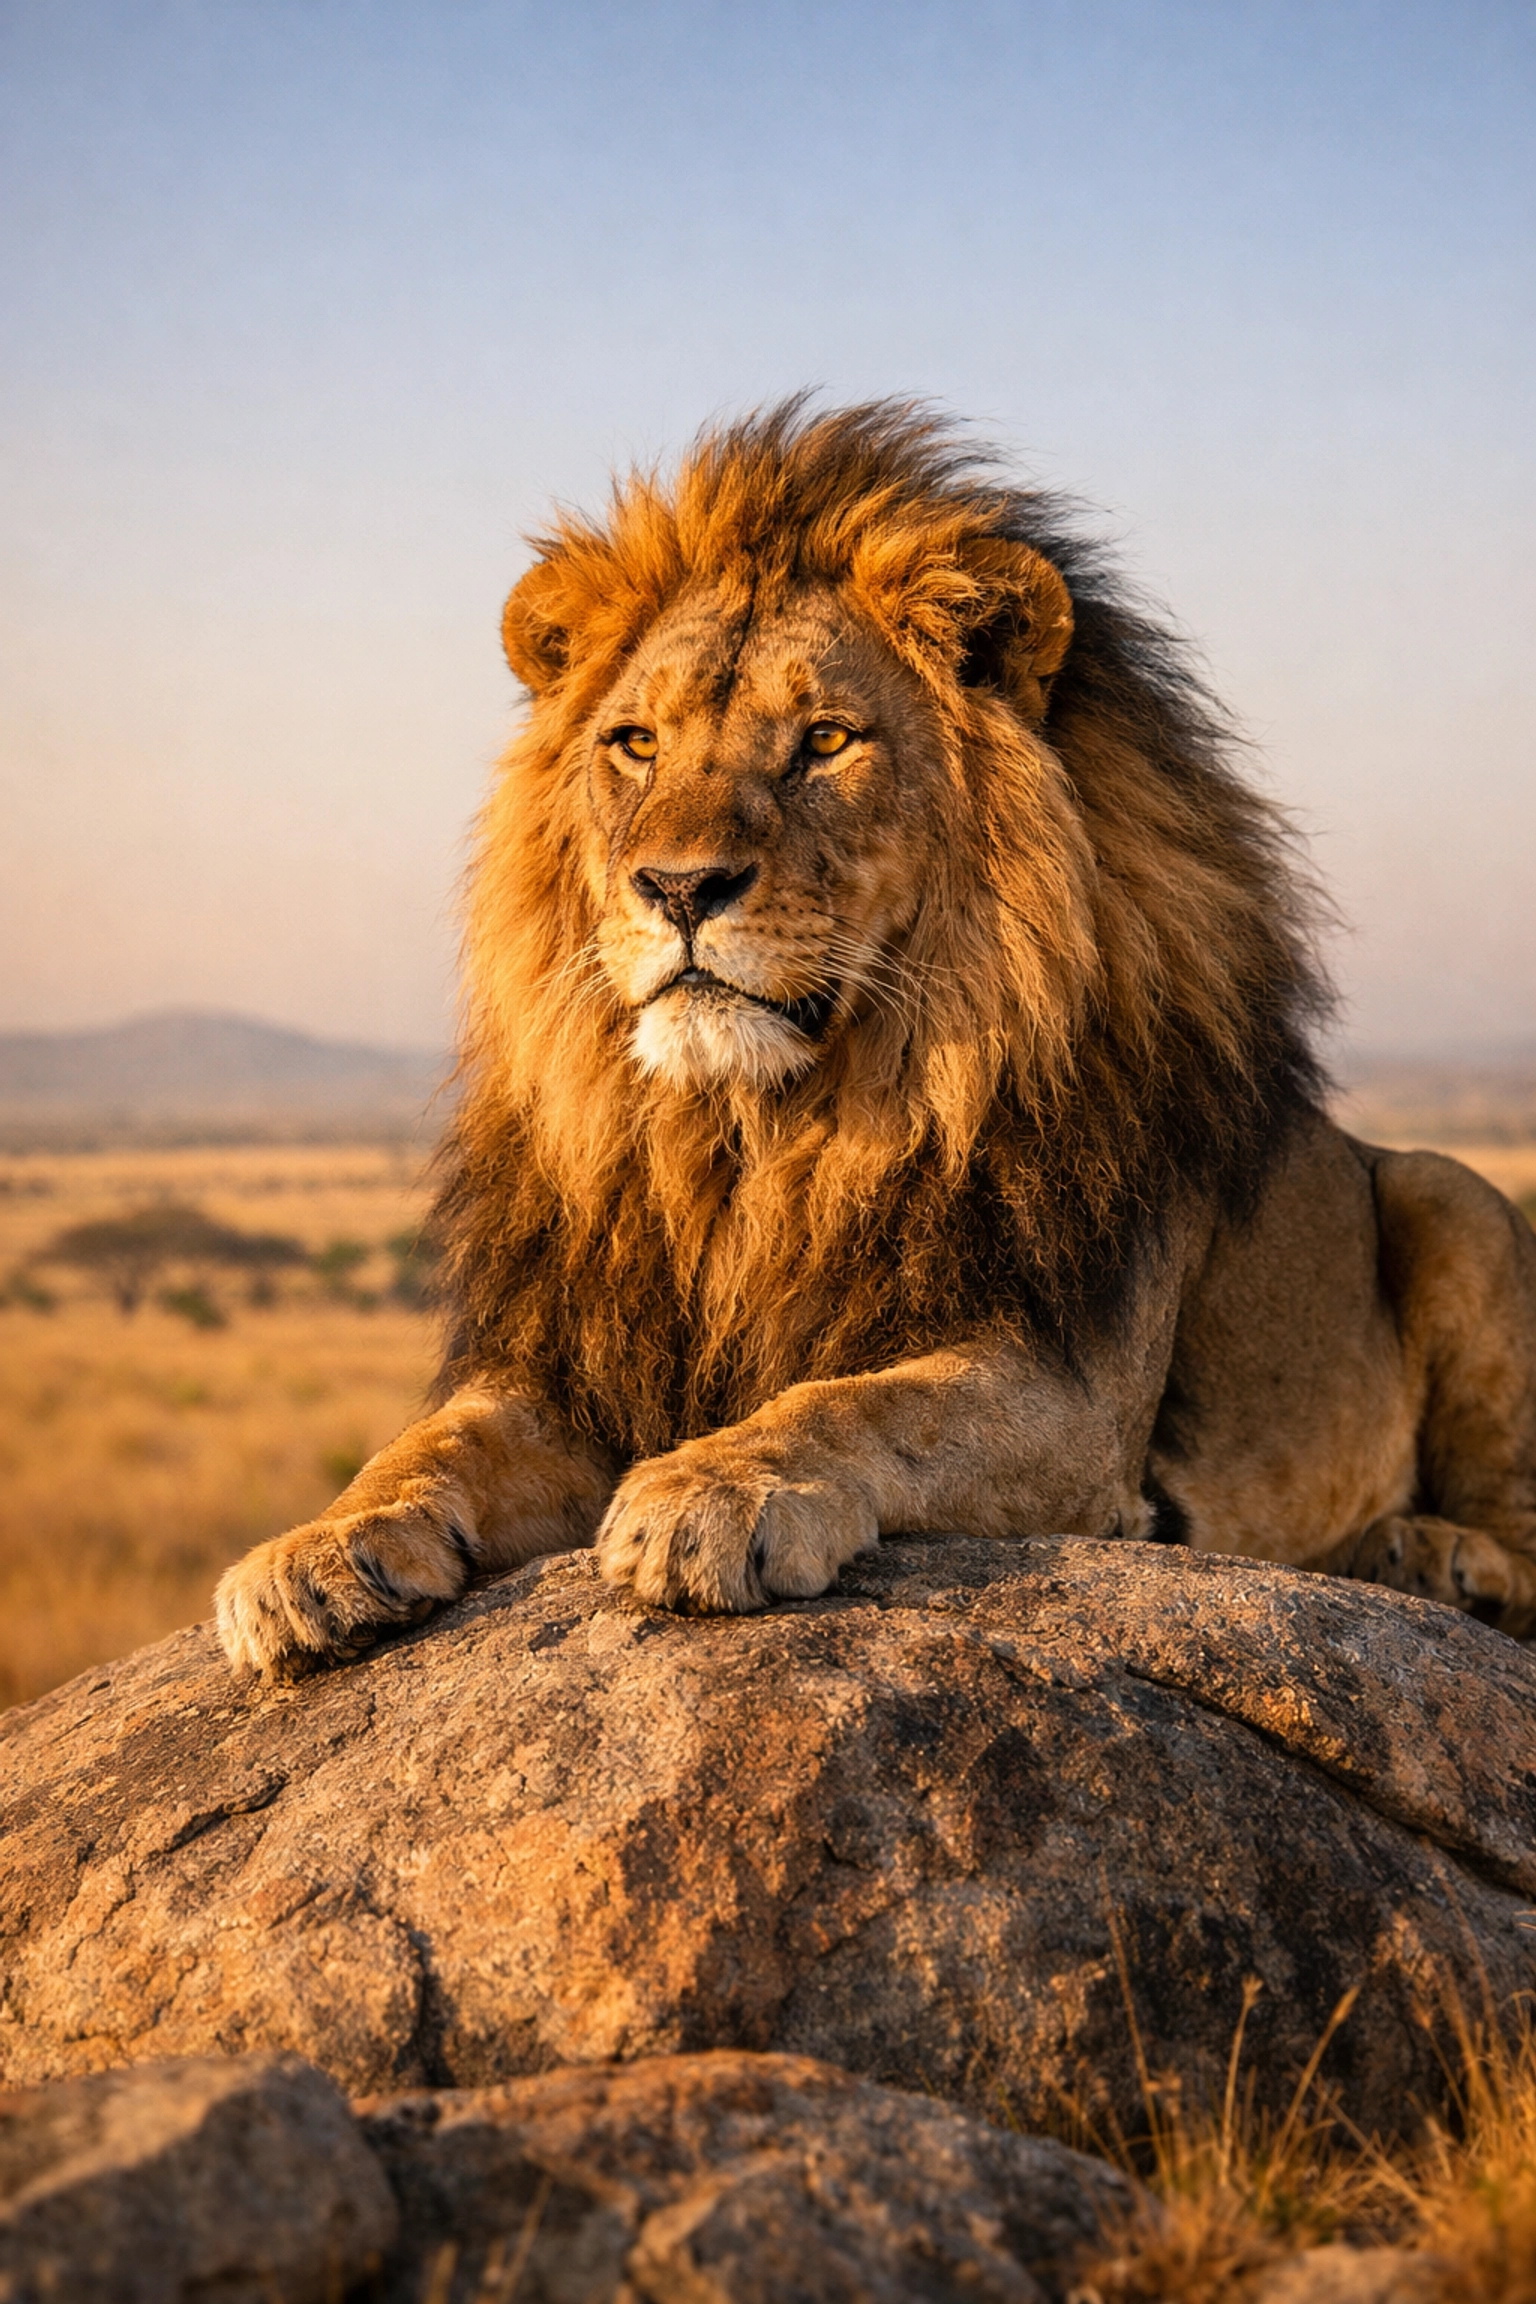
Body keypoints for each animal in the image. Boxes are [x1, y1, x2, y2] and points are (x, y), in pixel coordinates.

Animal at [216, 399, 1536, 1676]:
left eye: (827, 741)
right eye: (636, 744)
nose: (678, 887)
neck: (758, 1142)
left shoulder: (1071, 1401)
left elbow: (855, 1403)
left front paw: (715, 1492)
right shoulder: (577, 1364)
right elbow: (425, 1444)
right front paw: (312, 1554)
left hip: (1452, 1197)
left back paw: (1427, 1558)